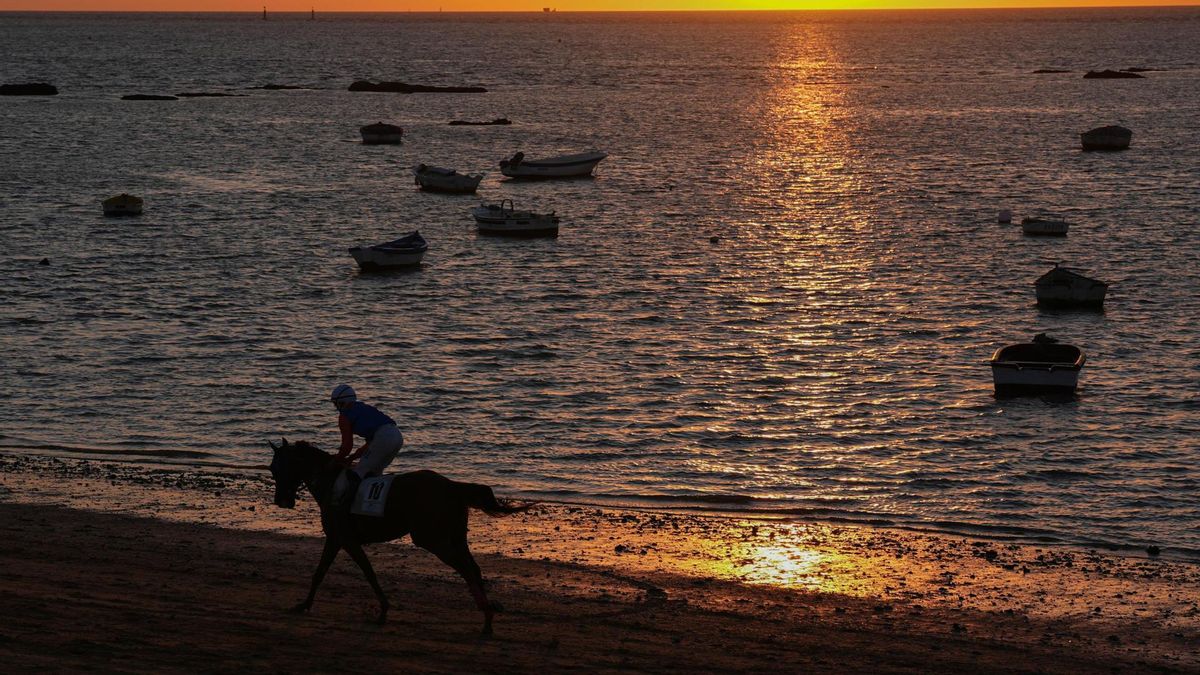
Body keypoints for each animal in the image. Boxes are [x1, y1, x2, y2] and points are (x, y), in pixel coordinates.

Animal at [267, 438, 530, 635]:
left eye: (275, 468)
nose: (281, 501)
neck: (331, 484)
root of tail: (452, 486)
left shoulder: (342, 538)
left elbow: (364, 572)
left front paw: (383, 611)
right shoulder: (338, 539)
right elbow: (320, 573)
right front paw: (304, 604)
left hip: (431, 538)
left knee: (466, 569)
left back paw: (487, 618)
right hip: (455, 537)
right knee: (473, 568)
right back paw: (487, 615)